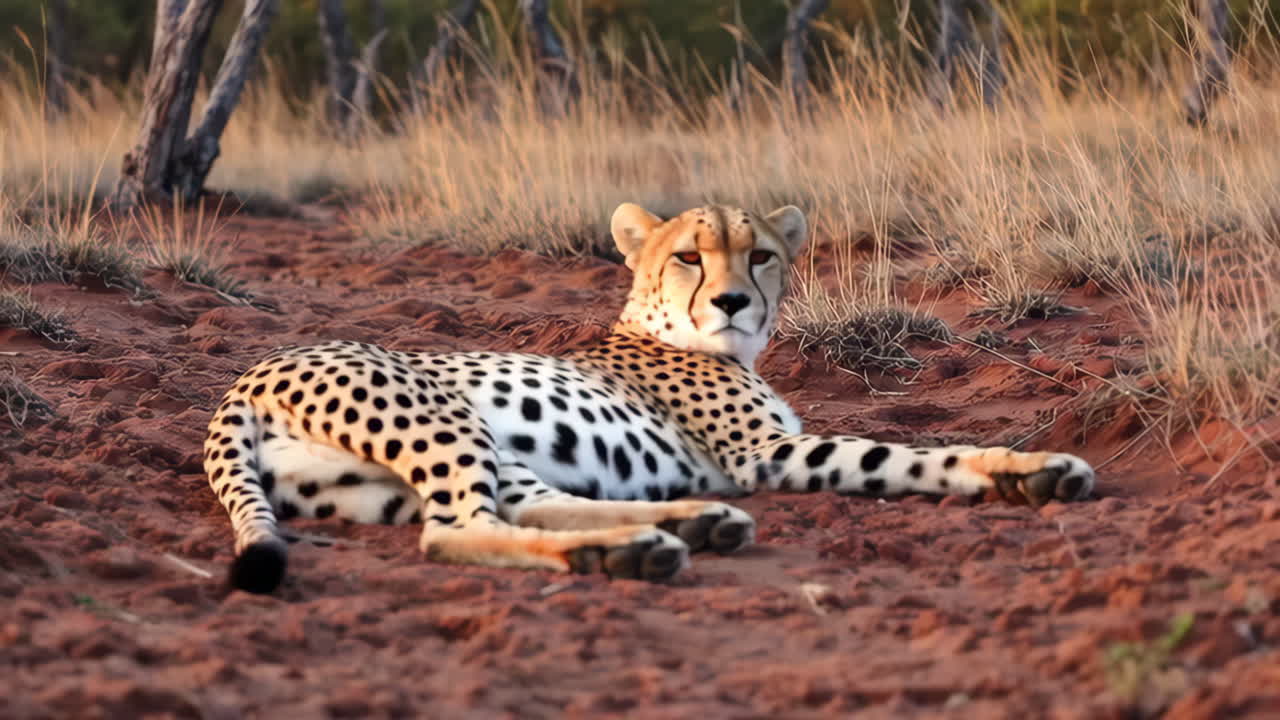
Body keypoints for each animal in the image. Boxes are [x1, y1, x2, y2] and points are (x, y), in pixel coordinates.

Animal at [204, 202, 1095, 594]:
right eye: (689, 257)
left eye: (760, 255)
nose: (732, 301)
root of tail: (244, 378)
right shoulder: (763, 453)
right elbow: (897, 455)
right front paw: (1030, 468)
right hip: (442, 420)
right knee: (454, 531)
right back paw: (638, 548)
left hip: (420, 469)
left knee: (524, 507)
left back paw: (667, 531)